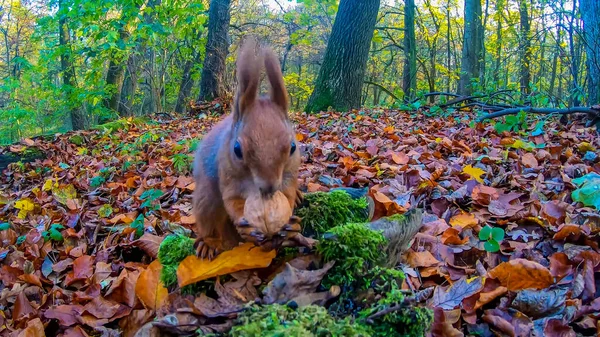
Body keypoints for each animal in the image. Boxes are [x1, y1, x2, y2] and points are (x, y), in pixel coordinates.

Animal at [192, 38, 302, 260]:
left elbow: (287, 194)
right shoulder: (227, 172)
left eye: (293, 147)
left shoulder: (289, 174)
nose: (269, 187)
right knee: (209, 219)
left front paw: (291, 225)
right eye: (237, 149)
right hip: (207, 197)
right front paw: (247, 227)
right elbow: (232, 201)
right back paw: (209, 243)